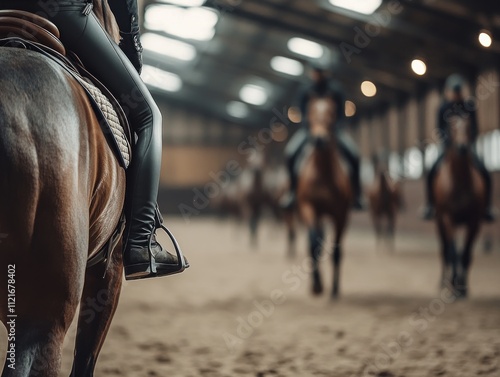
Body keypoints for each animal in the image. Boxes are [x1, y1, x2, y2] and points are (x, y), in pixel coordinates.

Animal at [296, 96, 352, 296]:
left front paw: (334, 290)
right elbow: (314, 245)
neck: (322, 173)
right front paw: (317, 286)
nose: (319, 139)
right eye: (311, 112)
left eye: (332, 113)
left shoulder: (341, 214)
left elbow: (336, 250)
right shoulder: (307, 207)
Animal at [434, 114, 488, 296]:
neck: (460, 182)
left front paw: (462, 288)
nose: (462, 147)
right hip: (439, 223)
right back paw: (443, 282)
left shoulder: (474, 221)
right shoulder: (447, 218)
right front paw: (453, 285)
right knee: (444, 250)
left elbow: (465, 253)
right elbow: (452, 253)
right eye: (451, 127)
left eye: (469, 126)